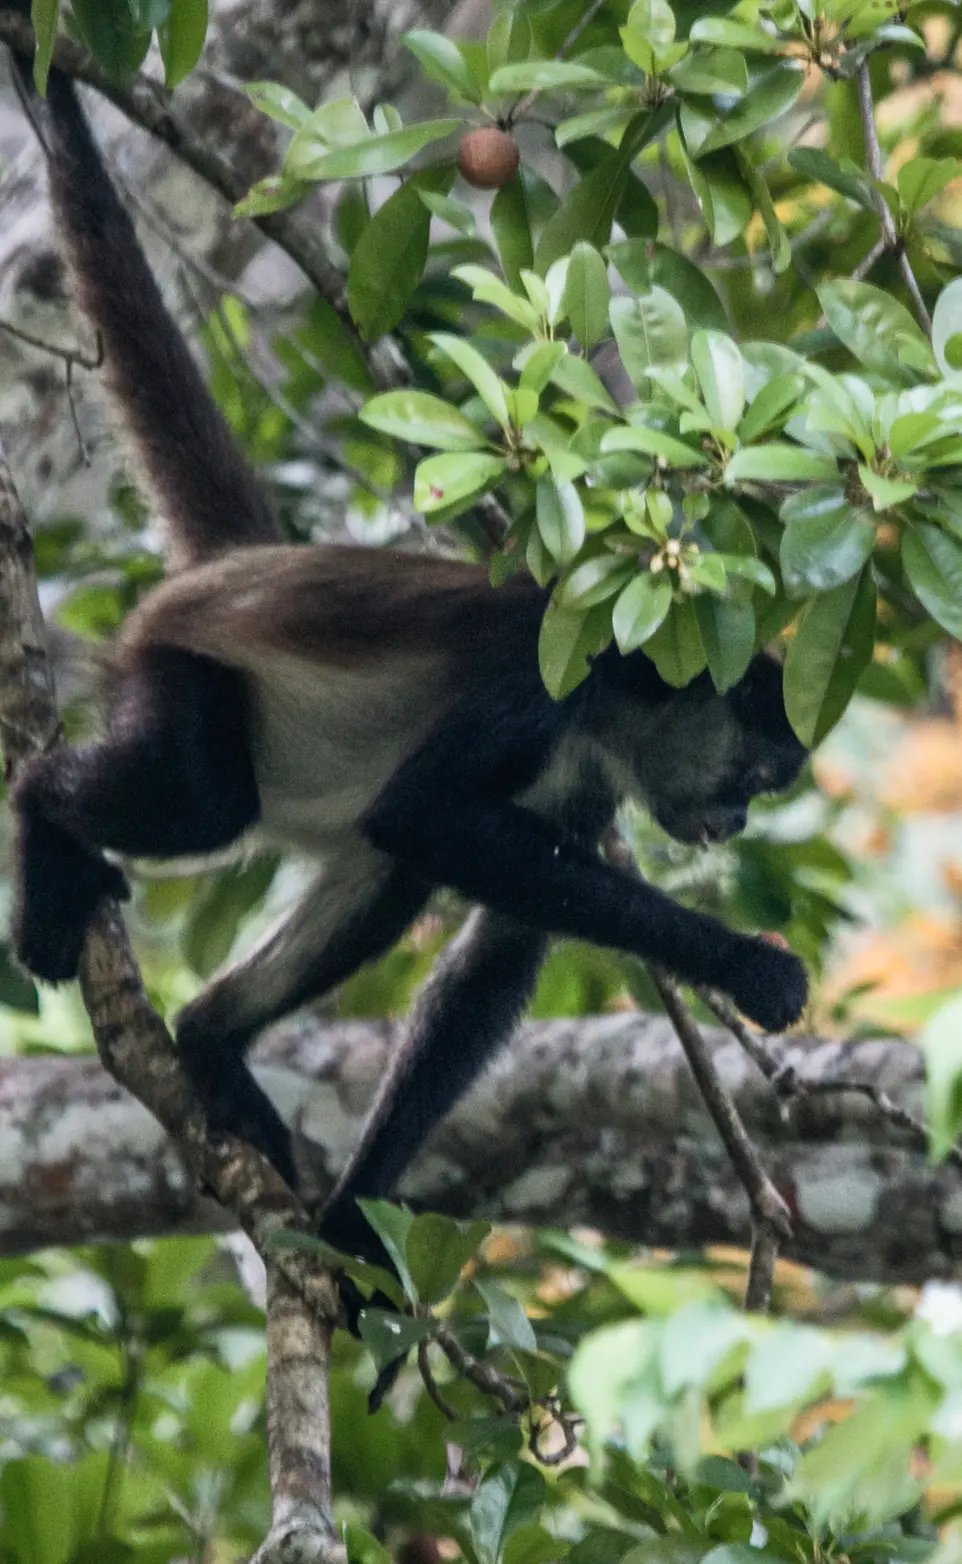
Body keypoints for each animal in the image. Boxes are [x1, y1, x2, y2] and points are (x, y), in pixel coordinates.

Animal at [4, 28, 809, 1276]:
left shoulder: (584, 766)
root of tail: (234, 569)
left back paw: (212, 1042)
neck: (607, 691)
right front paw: (742, 964)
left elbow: (490, 937)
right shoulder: (537, 683)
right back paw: (48, 831)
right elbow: (429, 817)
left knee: (383, 878)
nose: (727, 824)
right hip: (182, 677)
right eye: (754, 775)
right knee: (200, 800)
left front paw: (350, 1232)